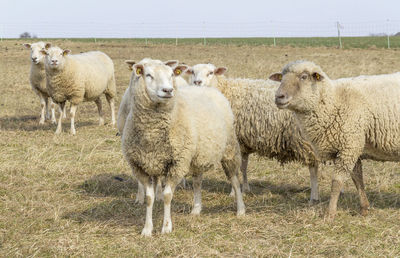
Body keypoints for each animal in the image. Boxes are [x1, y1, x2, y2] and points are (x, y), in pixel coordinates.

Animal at [122, 58, 245, 236]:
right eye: (148, 75)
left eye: (172, 74)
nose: (168, 90)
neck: (152, 134)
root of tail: (208, 88)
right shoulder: (141, 167)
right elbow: (149, 198)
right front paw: (147, 229)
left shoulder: (177, 163)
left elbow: (167, 196)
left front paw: (166, 227)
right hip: (198, 154)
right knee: (198, 182)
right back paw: (196, 209)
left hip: (229, 148)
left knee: (234, 179)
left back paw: (241, 209)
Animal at [186, 63, 320, 203]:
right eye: (192, 72)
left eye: (211, 73)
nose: (197, 82)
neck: (225, 91)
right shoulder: (243, 143)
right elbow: (243, 167)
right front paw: (245, 189)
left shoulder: (233, 141)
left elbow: (234, 169)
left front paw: (233, 192)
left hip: (305, 141)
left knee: (313, 168)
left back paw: (314, 196)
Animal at [274, 60, 400, 220]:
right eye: (282, 77)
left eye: (304, 76)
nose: (279, 96)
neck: (333, 100)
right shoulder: (352, 146)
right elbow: (357, 179)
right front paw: (364, 208)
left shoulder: (349, 146)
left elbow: (337, 182)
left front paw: (330, 214)